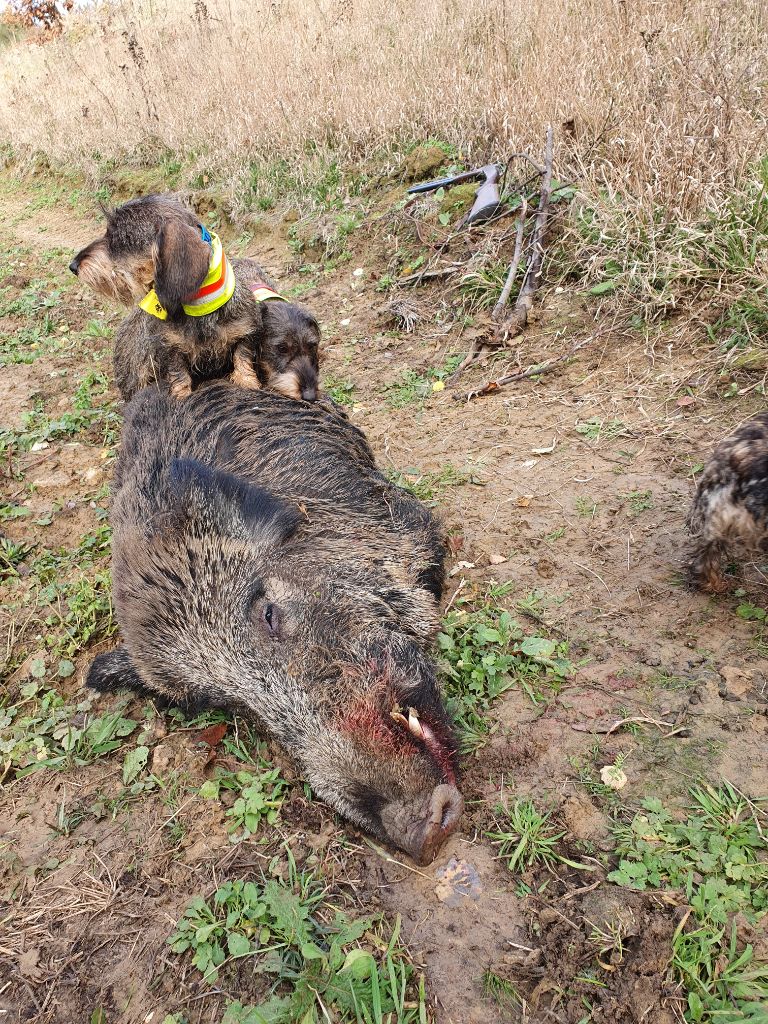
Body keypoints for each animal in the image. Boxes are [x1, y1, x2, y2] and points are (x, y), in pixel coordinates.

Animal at [70, 193, 321, 401]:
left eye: (119, 237)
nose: (73, 265)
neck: (200, 307)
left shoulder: (245, 333)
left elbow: (242, 358)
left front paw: (247, 383)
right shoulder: (169, 348)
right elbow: (179, 373)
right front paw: (181, 396)